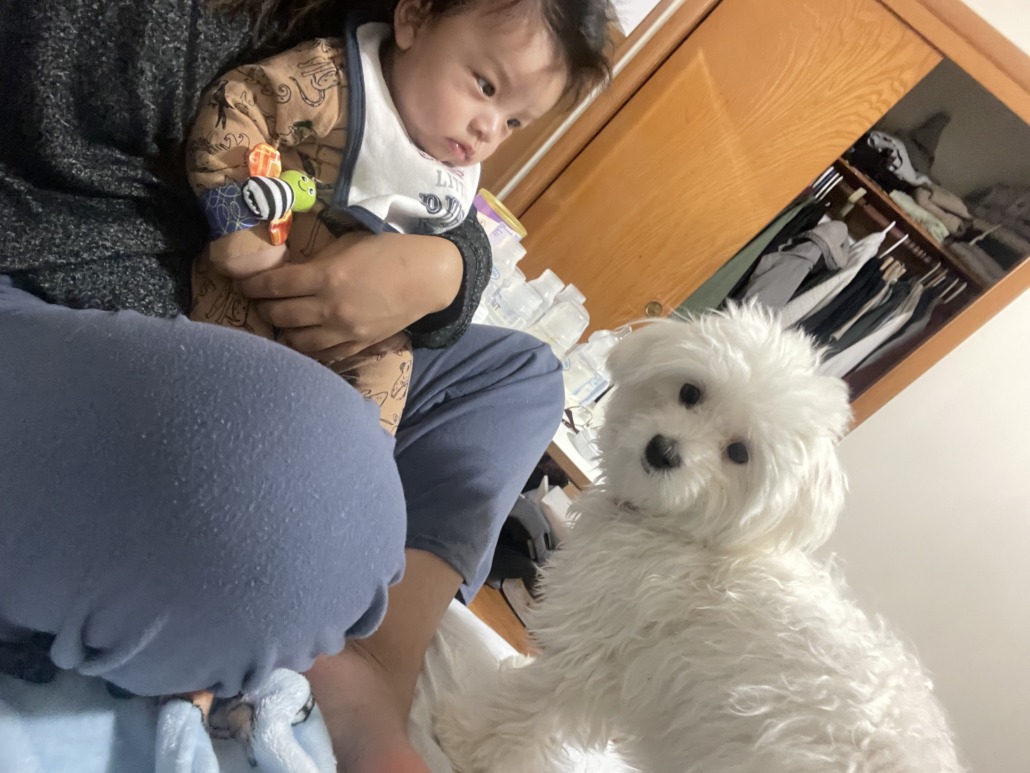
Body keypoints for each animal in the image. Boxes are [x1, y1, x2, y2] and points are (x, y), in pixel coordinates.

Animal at [435, 304, 963, 772]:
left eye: (739, 453)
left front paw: (465, 740)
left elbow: (527, 710)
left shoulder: (595, 656)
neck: (684, 534)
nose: (663, 450)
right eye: (690, 392)